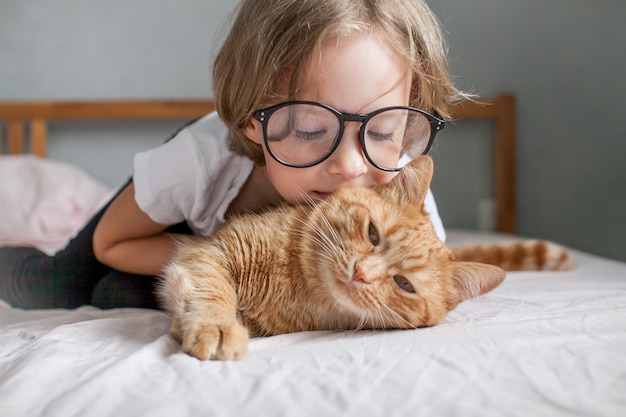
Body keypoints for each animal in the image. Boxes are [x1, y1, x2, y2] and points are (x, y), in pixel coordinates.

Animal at [158, 156, 568, 360]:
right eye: (372, 234)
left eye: (404, 284)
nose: (360, 273)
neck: (297, 287)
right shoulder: (212, 251)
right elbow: (213, 292)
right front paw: (215, 326)